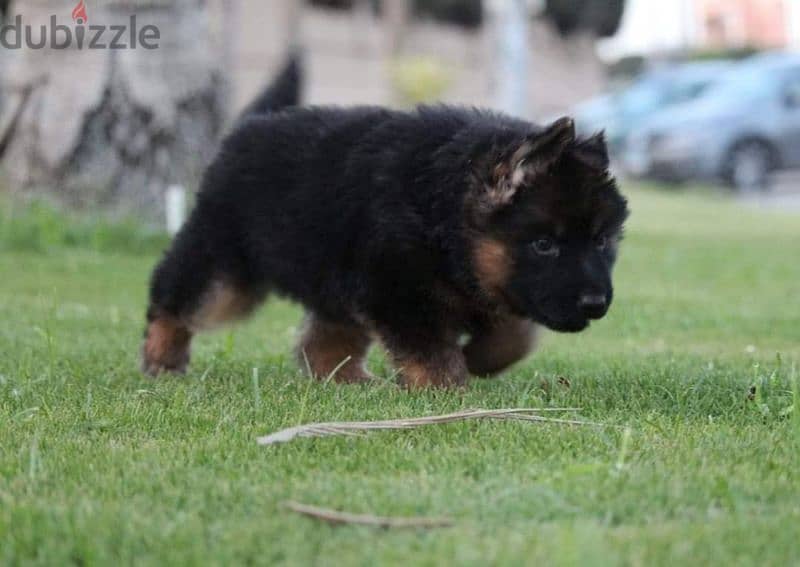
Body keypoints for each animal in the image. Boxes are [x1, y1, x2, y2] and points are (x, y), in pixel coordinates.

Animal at [144, 57, 632, 388]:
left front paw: (479, 359)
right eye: (544, 245)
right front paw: (447, 389)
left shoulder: (485, 288)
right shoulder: (398, 288)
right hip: (227, 265)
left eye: (602, 241)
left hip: (336, 282)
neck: (444, 216)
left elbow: (515, 336)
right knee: (174, 297)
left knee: (321, 342)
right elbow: (432, 349)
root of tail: (248, 127)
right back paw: (161, 359)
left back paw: (350, 383)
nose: (596, 303)